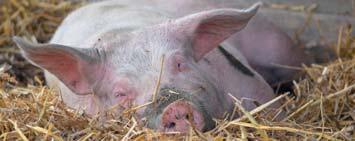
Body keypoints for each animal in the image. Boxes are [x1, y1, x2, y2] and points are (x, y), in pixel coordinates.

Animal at [12, 0, 310, 132]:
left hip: (278, 47)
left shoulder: (248, 83)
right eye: (120, 93)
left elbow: (271, 106)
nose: (176, 107)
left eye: (179, 64)